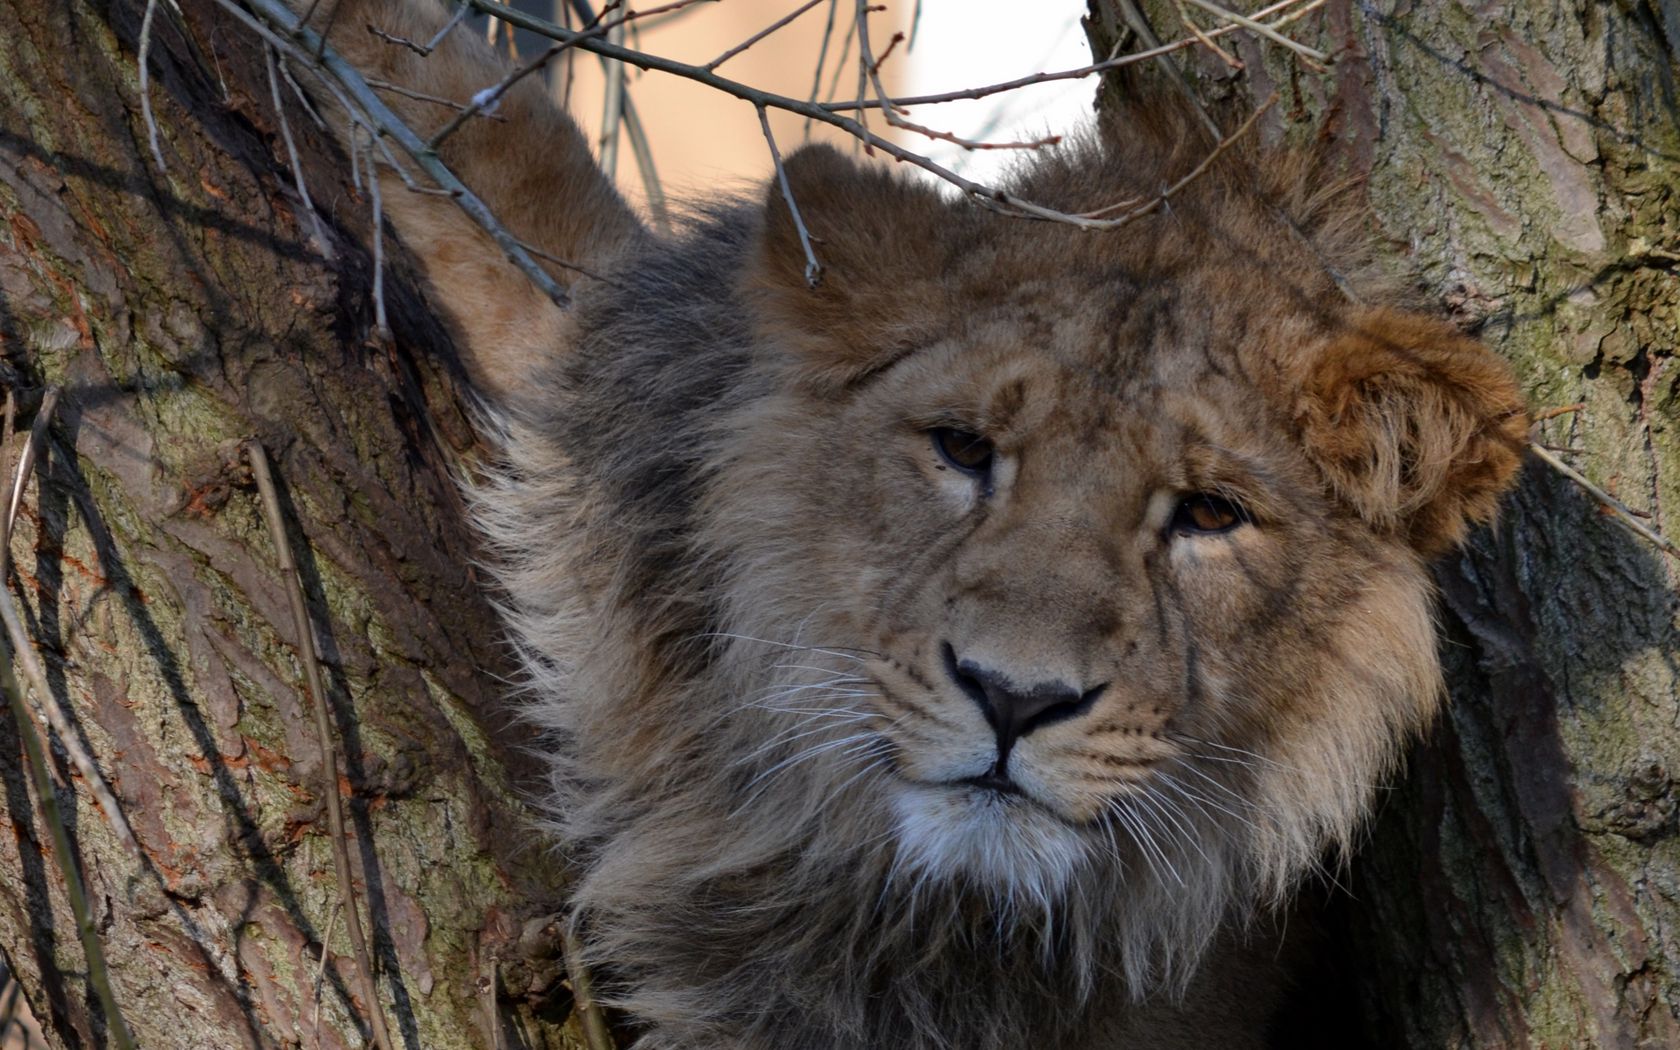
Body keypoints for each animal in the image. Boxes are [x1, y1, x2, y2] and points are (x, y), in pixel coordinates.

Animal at [295, 4, 1532, 1041]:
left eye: (1210, 514)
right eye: (963, 449)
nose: (1015, 698)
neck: (908, 923)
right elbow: (486, 149)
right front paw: (334, 36)